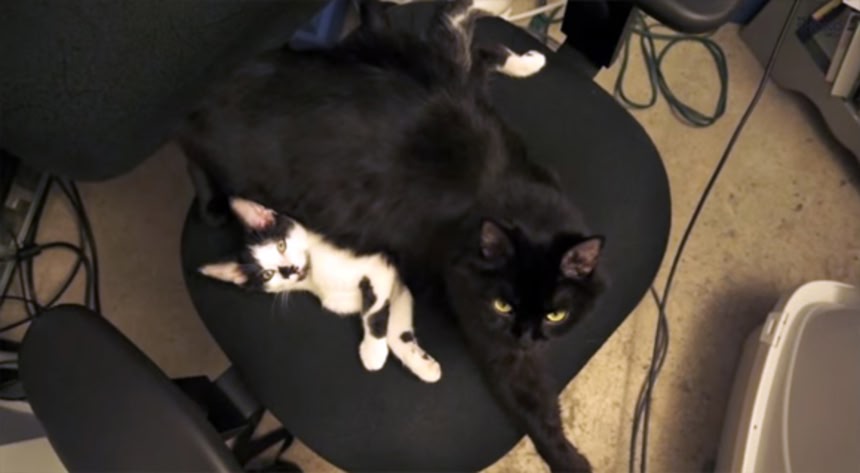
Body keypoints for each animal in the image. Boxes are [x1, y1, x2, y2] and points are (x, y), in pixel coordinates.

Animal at [199, 197, 441, 384]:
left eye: (281, 245)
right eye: (268, 274)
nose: (290, 269)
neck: (316, 277)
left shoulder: (380, 266)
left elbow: (373, 311)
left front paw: (373, 352)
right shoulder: (396, 286)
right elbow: (394, 326)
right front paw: (421, 363)